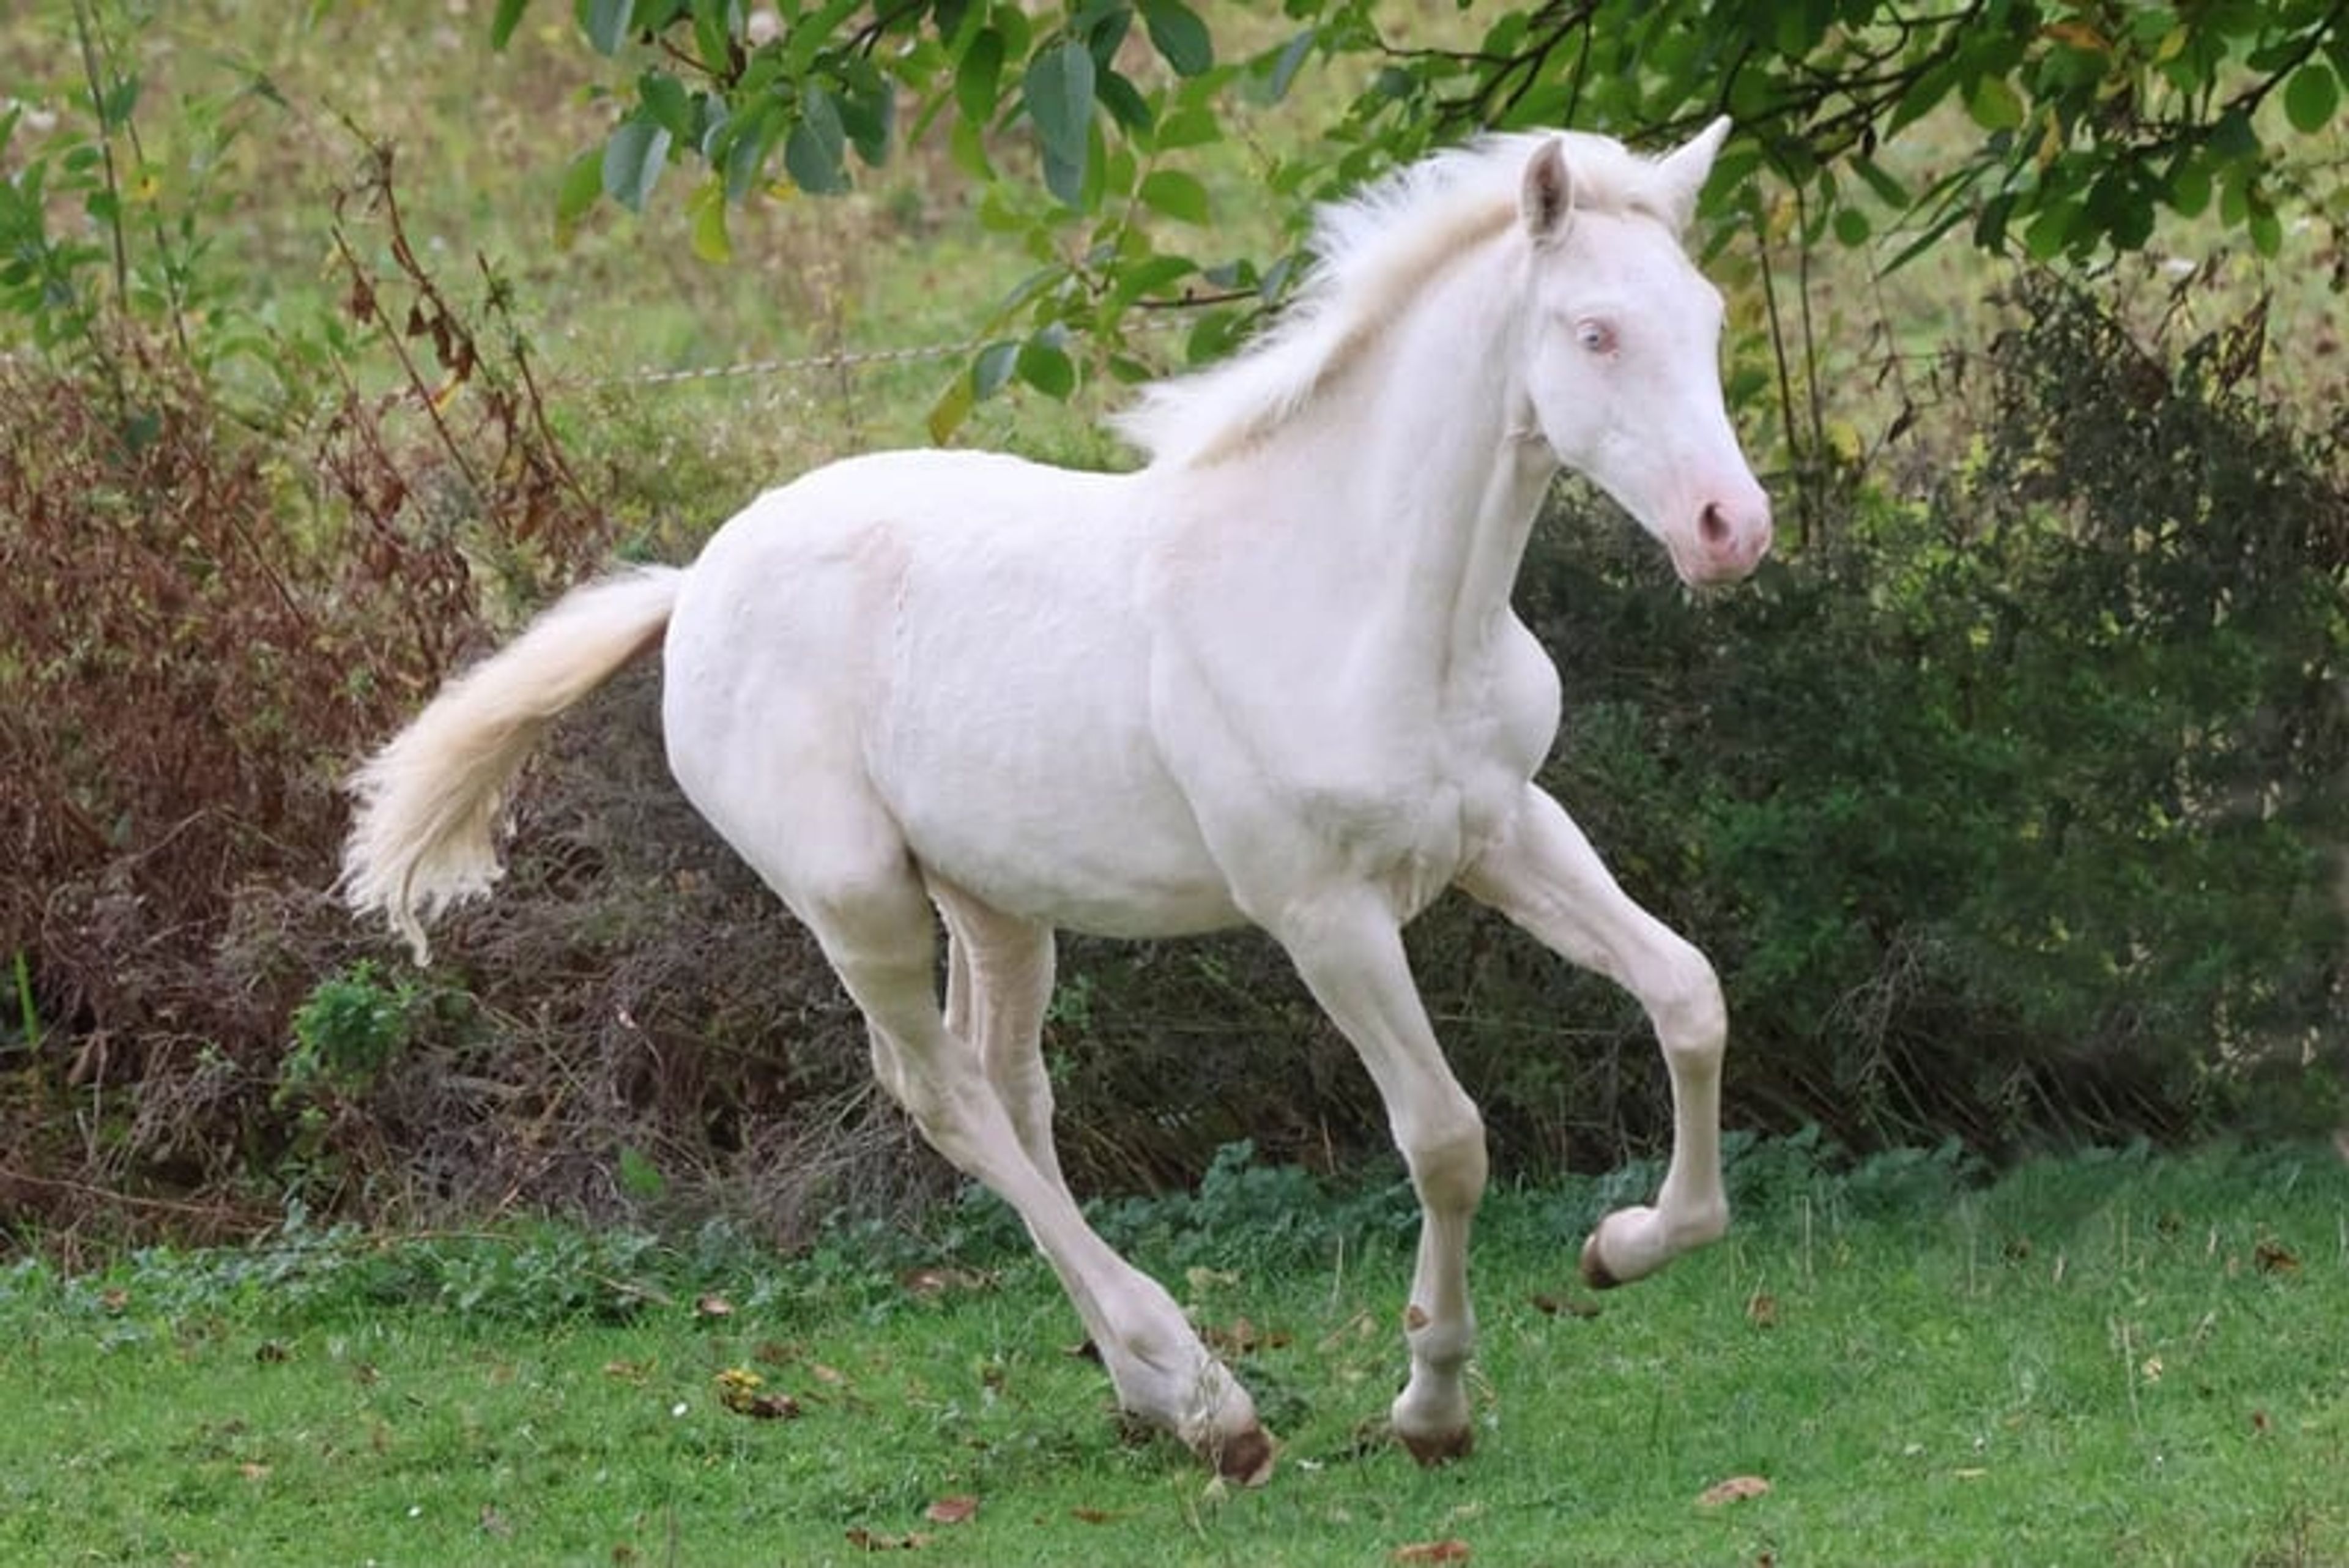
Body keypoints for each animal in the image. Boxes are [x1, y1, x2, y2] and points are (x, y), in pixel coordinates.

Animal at [342, 117, 1772, 1485]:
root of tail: (695, 583)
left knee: (1009, 1090)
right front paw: (1431, 1406)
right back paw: (1207, 1400)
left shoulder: (1508, 829)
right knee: (941, 1095)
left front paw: (1626, 1243)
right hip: (856, 899)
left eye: (1706, 318)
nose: (1730, 529)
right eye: (1595, 332)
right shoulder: (1321, 910)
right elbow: (1446, 1138)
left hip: (994, 899)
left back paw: (1149, 1391)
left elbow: (1690, 993)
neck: (1358, 596)